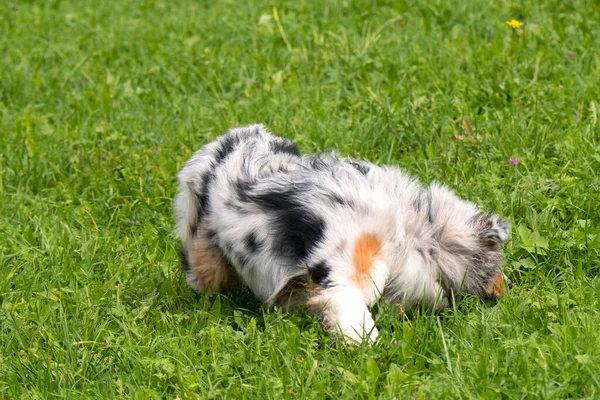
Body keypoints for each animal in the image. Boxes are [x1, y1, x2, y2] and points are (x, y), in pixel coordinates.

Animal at [173, 123, 510, 342]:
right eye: (498, 262)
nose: (509, 288)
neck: (412, 233)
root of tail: (223, 140)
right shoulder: (342, 274)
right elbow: (356, 315)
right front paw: (372, 349)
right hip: (205, 255)